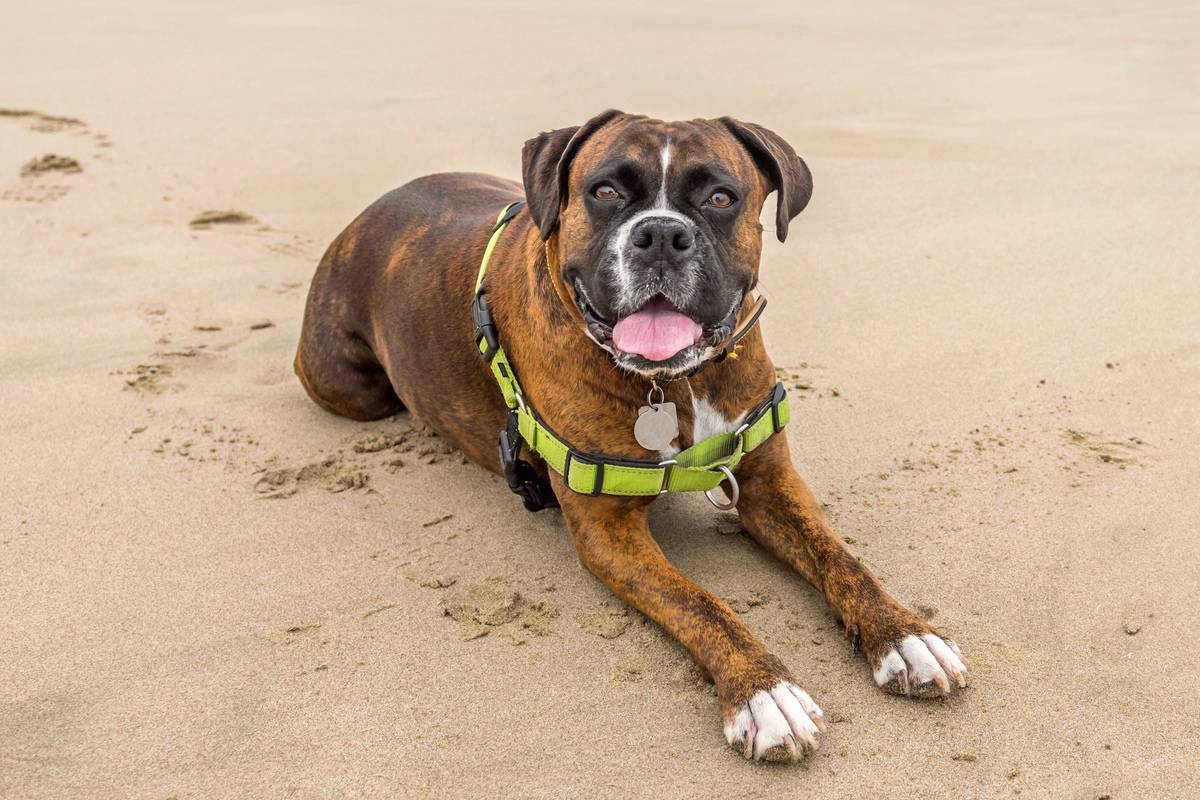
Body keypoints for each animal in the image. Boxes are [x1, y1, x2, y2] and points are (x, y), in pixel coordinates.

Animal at [295, 109, 969, 762]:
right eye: (606, 191)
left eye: (721, 197)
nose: (662, 234)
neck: (675, 383)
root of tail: (369, 211)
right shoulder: (609, 534)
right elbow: (701, 603)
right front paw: (763, 692)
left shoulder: (769, 483)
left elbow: (843, 560)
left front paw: (906, 635)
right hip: (350, 387)